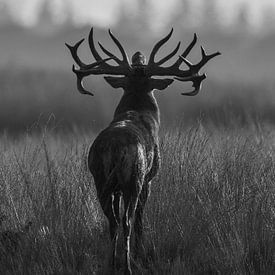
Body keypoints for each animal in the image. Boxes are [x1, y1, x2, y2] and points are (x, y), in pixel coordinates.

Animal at [66, 27, 221, 274]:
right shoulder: (150, 177)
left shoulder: (115, 187)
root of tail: (114, 148)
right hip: (134, 177)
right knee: (128, 220)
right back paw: (129, 265)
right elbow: (140, 219)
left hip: (100, 179)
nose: (138, 56)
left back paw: (112, 263)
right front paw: (141, 255)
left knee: (112, 221)